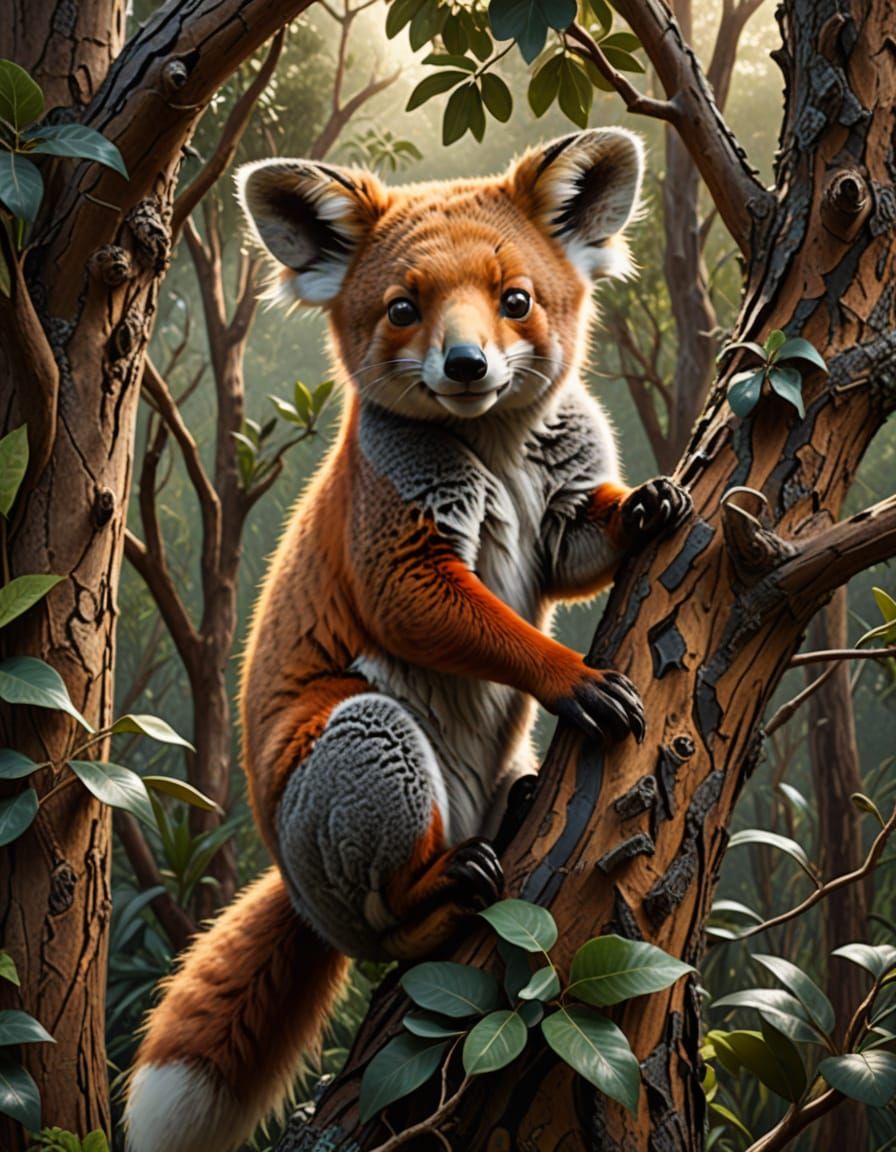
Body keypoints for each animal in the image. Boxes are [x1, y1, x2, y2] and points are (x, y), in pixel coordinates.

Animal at [123, 127, 691, 1152]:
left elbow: (577, 545)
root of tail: (294, 882)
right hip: (353, 765)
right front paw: (580, 682)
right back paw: (446, 886)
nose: (465, 364)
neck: (495, 439)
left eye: (517, 300)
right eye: (401, 310)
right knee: (382, 909)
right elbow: (435, 612)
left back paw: (518, 806)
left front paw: (653, 505)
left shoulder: (559, 487)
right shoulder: (396, 530)